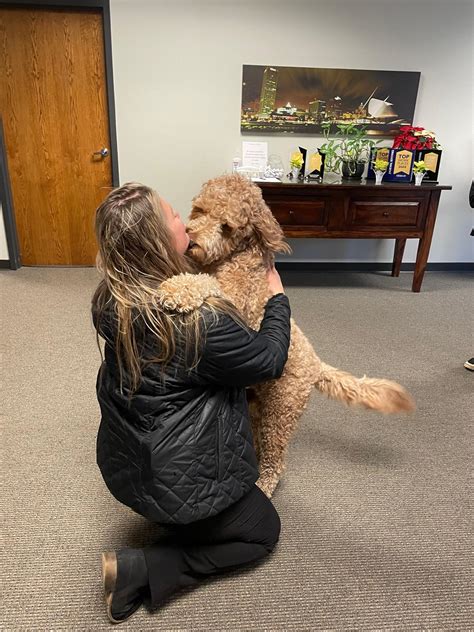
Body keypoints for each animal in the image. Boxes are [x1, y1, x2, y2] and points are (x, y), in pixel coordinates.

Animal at [186, 174, 414, 498]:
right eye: (200, 210)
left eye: (226, 226)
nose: (192, 240)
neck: (235, 255)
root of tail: (316, 365)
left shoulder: (236, 300)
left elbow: (205, 284)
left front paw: (175, 289)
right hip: (260, 406)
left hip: (281, 410)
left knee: (275, 459)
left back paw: (265, 483)